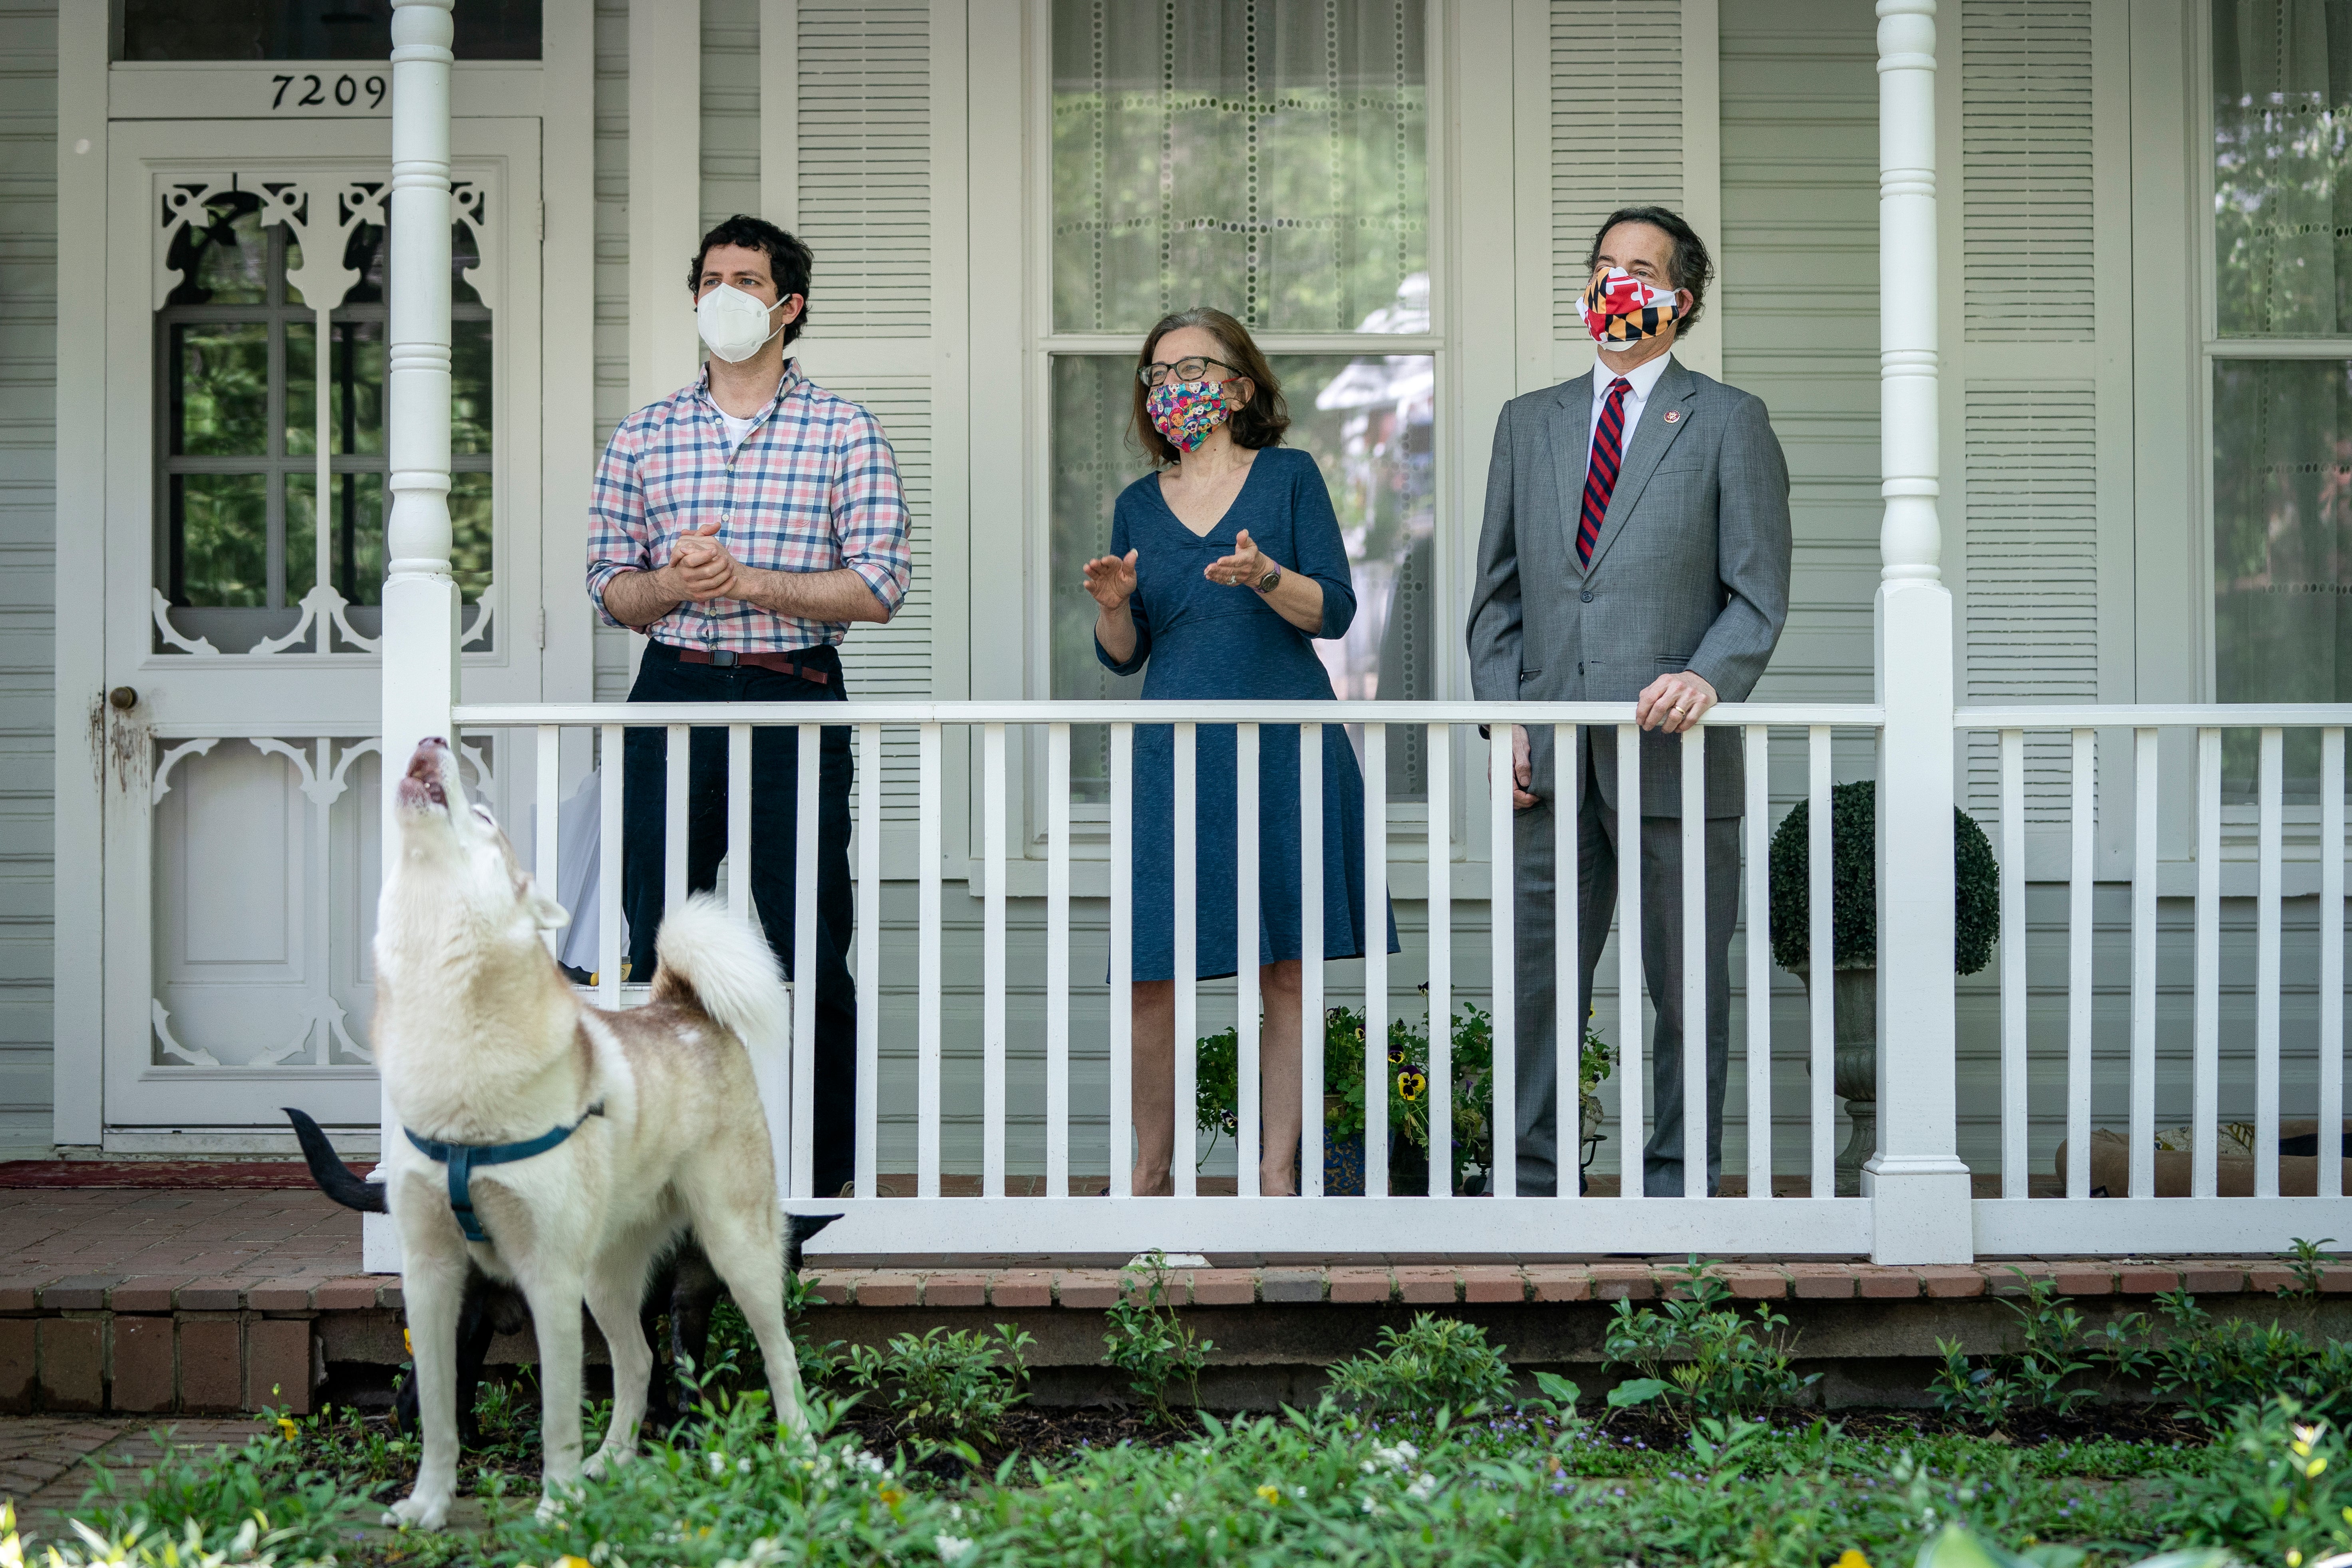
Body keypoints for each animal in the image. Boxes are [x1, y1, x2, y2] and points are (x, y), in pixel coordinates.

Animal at [283, 1105, 837, 1448]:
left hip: (478, 1328)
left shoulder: (690, 1304)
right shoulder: (659, 1304)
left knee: (459, 1386)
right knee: (413, 1389)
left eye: (795, 1260)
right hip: (464, 1322)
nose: (790, 1289)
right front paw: (673, 1427)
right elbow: (666, 1370)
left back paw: (473, 1442)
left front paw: (677, 1424)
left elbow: (684, 1370)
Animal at [371, 738, 804, 1532]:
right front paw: (429, 1504)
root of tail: (679, 1002)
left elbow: (555, 1419)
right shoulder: (431, 1273)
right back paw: (613, 1462)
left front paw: (556, 1507)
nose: (432, 741)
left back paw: (803, 1454)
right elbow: (441, 1414)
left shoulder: (547, 1277)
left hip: (736, 1250)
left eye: (484, 817)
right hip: (605, 1278)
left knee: (779, 1352)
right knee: (638, 1363)